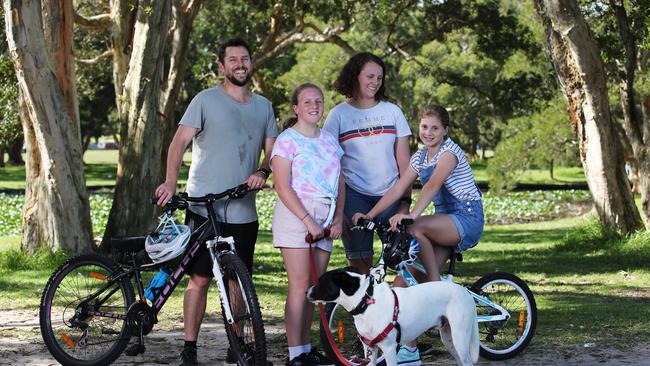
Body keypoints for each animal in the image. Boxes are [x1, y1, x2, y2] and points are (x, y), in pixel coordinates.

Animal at [306, 266, 478, 366]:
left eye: (320, 282)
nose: (306, 291)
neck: (365, 301)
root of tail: (466, 292)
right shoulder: (370, 349)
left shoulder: (388, 349)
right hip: (449, 339)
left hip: (460, 338)